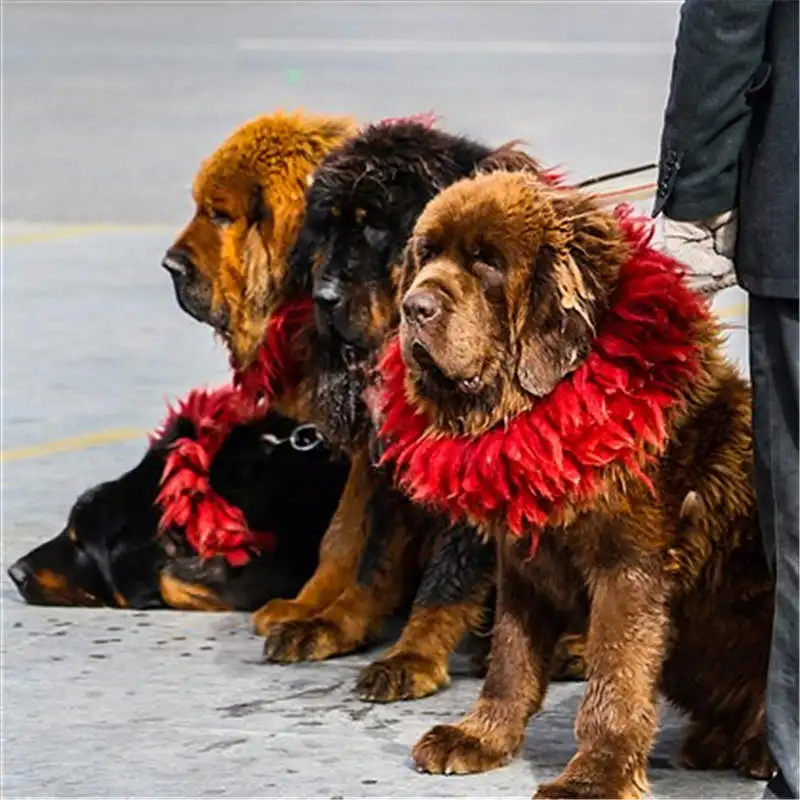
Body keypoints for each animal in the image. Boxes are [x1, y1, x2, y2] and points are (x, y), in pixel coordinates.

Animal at [380, 172, 776, 796]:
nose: (412, 307)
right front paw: (481, 737)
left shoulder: (629, 567)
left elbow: (615, 675)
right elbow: (509, 659)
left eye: (487, 262)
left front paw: (596, 775)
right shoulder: (521, 561)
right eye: (426, 254)